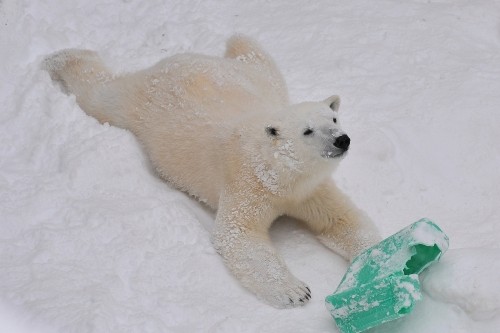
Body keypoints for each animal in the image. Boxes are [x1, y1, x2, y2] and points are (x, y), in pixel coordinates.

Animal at [43, 35, 380, 308]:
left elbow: (341, 219)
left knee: (257, 58)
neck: (279, 175)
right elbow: (238, 234)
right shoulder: (247, 184)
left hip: (256, 82)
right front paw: (295, 291)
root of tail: (183, 59)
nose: (341, 139)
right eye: (308, 131)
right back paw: (59, 58)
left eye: (333, 119)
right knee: (101, 95)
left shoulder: (310, 189)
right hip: (139, 105)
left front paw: (375, 256)